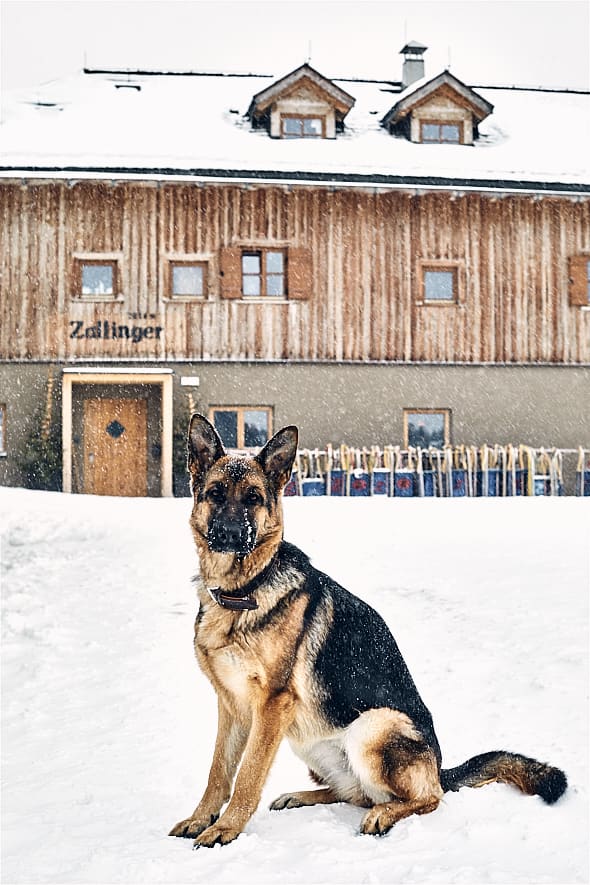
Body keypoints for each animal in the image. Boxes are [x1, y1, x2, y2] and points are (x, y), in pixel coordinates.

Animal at [171, 418, 568, 848]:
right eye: (215, 493)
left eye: (253, 498)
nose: (229, 533)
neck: (243, 591)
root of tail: (440, 767)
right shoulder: (232, 707)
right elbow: (218, 771)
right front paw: (200, 818)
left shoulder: (273, 705)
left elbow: (248, 774)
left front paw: (226, 829)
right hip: (308, 741)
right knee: (355, 793)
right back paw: (303, 796)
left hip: (372, 725)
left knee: (426, 797)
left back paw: (383, 815)